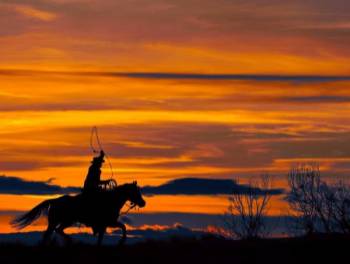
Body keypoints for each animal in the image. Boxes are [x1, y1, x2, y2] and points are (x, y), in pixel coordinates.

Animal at [10, 180, 145, 246]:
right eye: (135, 191)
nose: (143, 203)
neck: (110, 201)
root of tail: (54, 200)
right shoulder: (108, 222)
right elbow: (123, 227)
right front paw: (121, 241)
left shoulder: (105, 224)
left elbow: (104, 237)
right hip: (63, 221)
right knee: (54, 232)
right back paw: (70, 241)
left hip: (61, 222)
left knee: (53, 233)